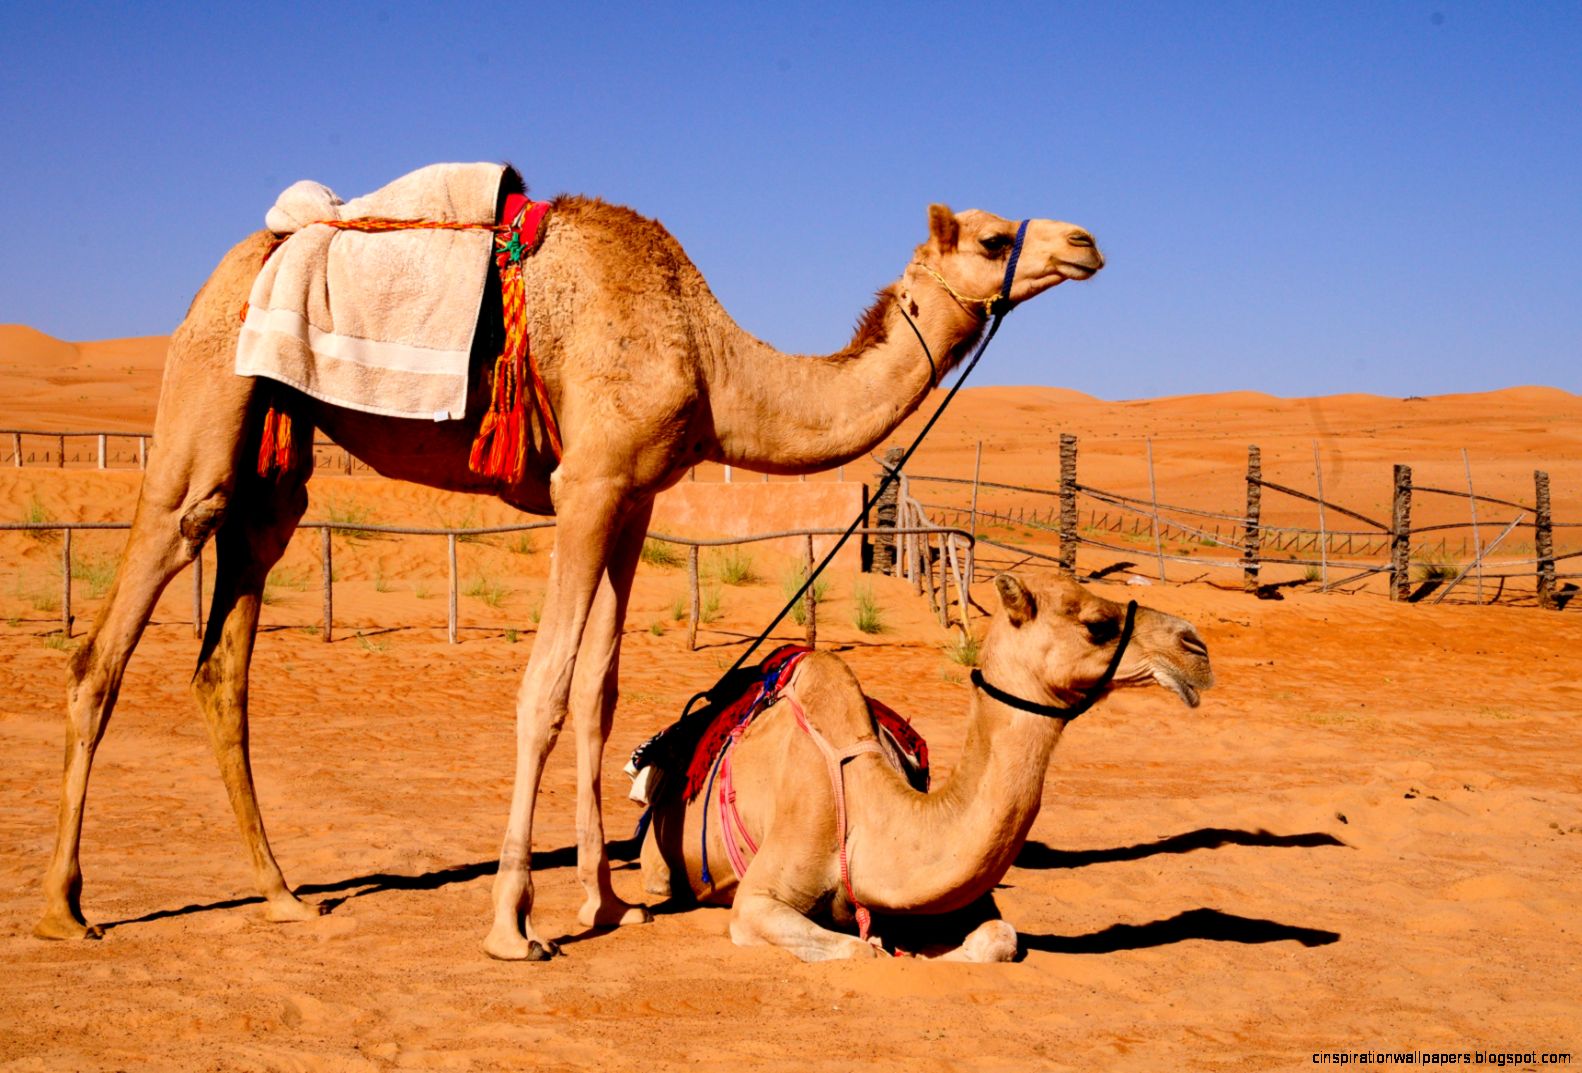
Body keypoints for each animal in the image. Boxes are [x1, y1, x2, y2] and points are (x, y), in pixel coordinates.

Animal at [34, 179, 1105, 961]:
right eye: (992, 236)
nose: (1086, 241)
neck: (711, 363)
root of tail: (229, 267)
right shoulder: (585, 484)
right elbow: (544, 687)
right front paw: (515, 924)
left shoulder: (636, 498)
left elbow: (599, 688)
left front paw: (603, 901)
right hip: (204, 408)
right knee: (108, 644)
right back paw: (64, 908)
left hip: (274, 466)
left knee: (223, 662)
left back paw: (282, 895)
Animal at [638, 573, 1214, 962]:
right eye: (1096, 624)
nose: (1197, 646)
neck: (869, 816)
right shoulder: (759, 899)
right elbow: (861, 950)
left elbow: (1000, 937)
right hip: (659, 862)